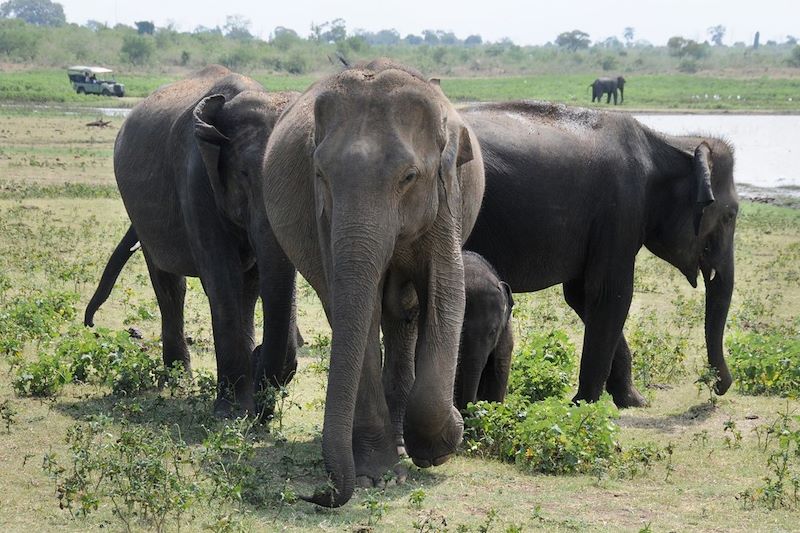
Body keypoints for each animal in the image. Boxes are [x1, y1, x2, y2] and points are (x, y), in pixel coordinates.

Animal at [84, 65, 304, 416]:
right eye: (244, 175)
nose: (89, 324)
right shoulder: (196, 180)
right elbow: (222, 278)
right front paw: (230, 412)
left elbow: (254, 281)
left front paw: (247, 405)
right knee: (169, 285)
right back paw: (178, 380)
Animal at [262, 60, 484, 504]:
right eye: (320, 174)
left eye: (410, 176)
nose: (320, 495)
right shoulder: (322, 217)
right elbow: (350, 309)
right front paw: (375, 475)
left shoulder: (445, 199)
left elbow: (446, 294)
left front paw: (440, 446)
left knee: (405, 314)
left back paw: (402, 439)